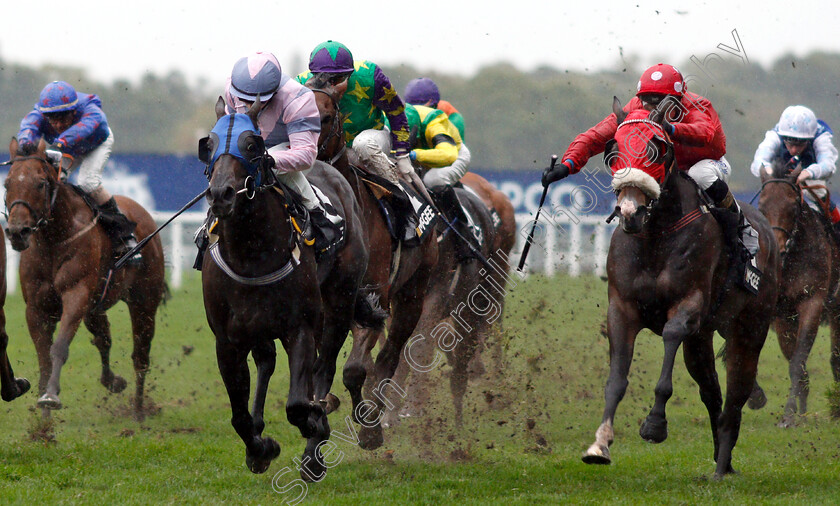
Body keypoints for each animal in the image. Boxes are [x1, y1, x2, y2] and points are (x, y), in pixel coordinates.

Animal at [4, 137, 166, 420]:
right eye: (7, 183)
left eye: (41, 183)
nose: (17, 232)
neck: (54, 240)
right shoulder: (36, 307)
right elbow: (44, 358)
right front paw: (43, 424)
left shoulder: (76, 294)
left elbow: (58, 347)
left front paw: (50, 397)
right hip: (96, 306)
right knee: (104, 339)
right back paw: (113, 382)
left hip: (144, 302)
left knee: (141, 356)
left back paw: (138, 411)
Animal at [200, 98, 380, 478]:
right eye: (208, 144)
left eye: (252, 145)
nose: (221, 194)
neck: (253, 256)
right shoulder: (228, 341)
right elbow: (238, 417)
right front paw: (261, 448)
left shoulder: (300, 326)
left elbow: (299, 404)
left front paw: (315, 428)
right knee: (269, 362)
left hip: (338, 303)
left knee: (323, 368)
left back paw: (317, 441)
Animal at [308, 81, 440, 448]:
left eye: (326, 116)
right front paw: (328, 402)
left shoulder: (374, 296)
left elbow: (356, 369)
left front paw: (369, 427)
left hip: (412, 294)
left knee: (389, 357)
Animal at [580, 103, 776, 478]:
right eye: (613, 150)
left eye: (657, 148)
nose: (630, 211)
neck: (655, 234)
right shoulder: (622, 309)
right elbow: (616, 378)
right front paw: (599, 443)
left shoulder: (690, 305)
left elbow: (670, 338)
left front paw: (655, 424)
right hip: (701, 340)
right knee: (712, 391)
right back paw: (722, 458)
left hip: (750, 327)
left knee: (737, 392)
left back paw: (722, 465)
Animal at [756, 161, 840, 426]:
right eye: (761, 205)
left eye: (792, 205)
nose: (775, 247)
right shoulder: (781, 314)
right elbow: (795, 360)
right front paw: (798, 410)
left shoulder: (812, 301)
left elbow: (798, 360)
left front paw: (789, 414)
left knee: (836, 358)